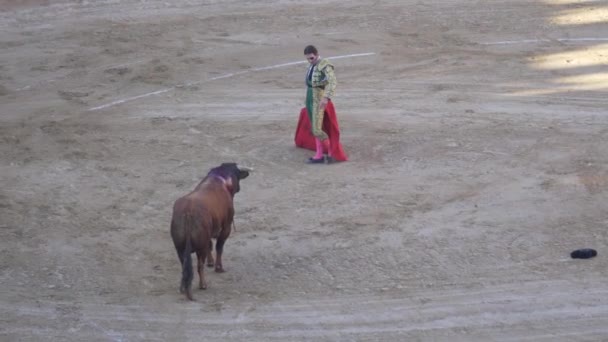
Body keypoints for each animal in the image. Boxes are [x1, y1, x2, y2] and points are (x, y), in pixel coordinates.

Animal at [170, 162, 251, 300]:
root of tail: (188, 212)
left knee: (184, 265)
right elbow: (219, 247)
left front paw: (211, 262)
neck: (220, 180)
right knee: (199, 265)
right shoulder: (226, 227)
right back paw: (203, 285)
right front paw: (218, 267)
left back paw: (183, 288)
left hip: (179, 247)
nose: (239, 188)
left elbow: (210, 245)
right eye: (237, 174)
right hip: (199, 247)